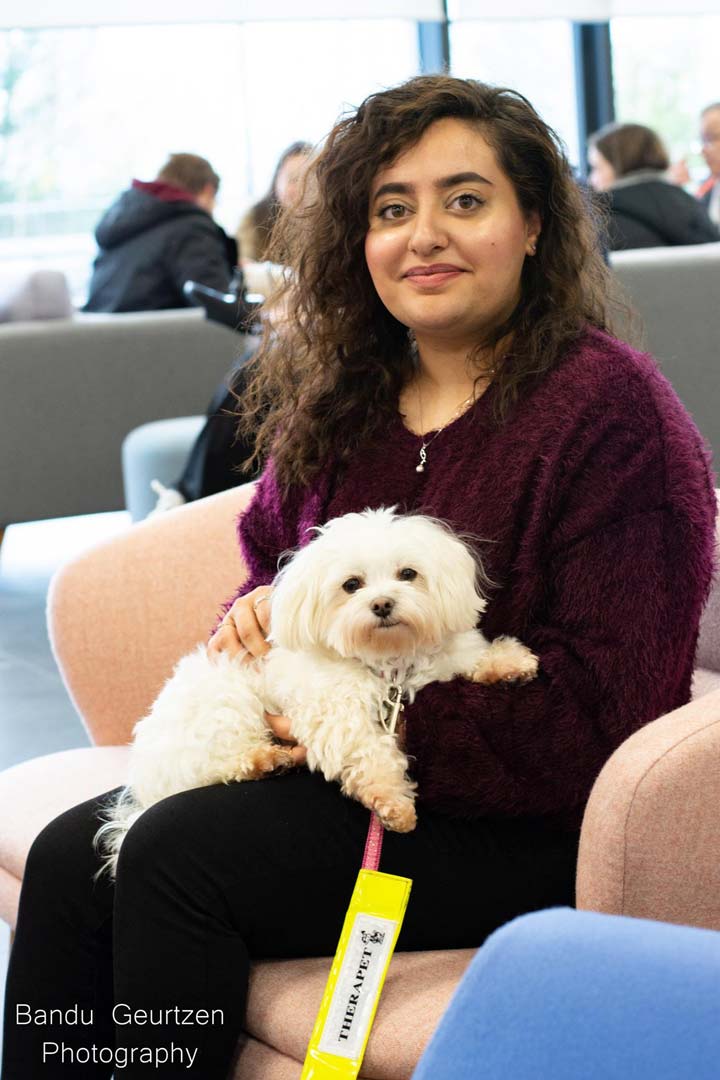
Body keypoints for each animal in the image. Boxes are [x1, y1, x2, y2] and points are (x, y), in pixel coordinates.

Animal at [98, 507, 537, 876]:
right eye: (351, 585)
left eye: (408, 574)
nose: (382, 604)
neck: (385, 660)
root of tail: (145, 785)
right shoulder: (337, 714)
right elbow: (371, 753)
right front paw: (392, 801)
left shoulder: (432, 661)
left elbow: (463, 655)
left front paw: (508, 663)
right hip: (228, 707)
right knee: (222, 761)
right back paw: (265, 760)